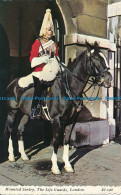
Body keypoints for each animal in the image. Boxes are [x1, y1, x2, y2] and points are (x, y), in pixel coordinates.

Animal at [5, 42, 111, 174]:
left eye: (105, 57)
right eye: (96, 58)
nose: (109, 80)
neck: (68, 88)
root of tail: (12, 83)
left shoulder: (71, 122)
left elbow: (66, 141)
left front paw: (68, 165)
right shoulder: (57, 121)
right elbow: (56, 142)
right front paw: (55, 167)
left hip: (26, 114)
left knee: (20, 130)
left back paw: (24, 155)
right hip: (12, 112)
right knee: (10, 130)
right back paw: (11, 156)